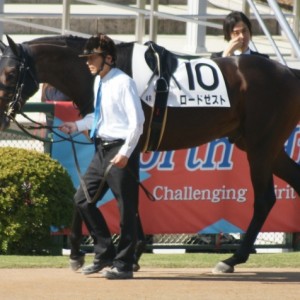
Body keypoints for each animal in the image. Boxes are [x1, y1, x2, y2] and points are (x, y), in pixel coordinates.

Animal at [0, 35, 300, 274]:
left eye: (11, 73)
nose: (2, 117)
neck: (103, 73)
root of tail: (288, 72)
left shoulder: (126, 146)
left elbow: (114, 197)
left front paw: (93, 255)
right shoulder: (120, 149)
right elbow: (103, 195)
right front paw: (125, 254)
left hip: (261, 147)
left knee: (264, 200)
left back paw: (231, 259)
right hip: (260, 146)